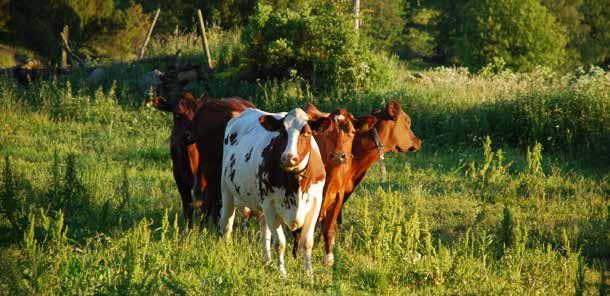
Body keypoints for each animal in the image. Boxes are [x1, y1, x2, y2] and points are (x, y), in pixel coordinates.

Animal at [218, 107, 330, 276]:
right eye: (282, 132)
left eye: (307, 132)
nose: (288, 158)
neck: (295, 184)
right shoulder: (270, 204)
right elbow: (280, 243)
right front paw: (282, 273)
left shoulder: (315, 204)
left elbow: (307, 242)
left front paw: (309, 274)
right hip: (227, 191)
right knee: (227, 224)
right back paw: (228, 252)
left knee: (264, 232)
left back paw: (267, 261)